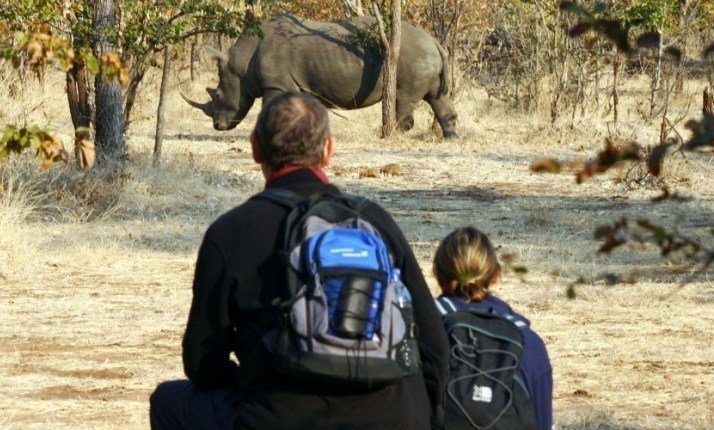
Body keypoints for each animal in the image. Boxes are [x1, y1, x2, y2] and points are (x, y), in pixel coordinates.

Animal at [183, 14, 458, 138]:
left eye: (218, 94)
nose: (218, 126)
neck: (241, 62)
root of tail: (434, 41)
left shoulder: (275, 85)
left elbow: (269, 109)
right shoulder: (297, 85)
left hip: (414, 55)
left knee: (404, 99)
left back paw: (394, 135)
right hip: (426, 55)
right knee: (437, 98)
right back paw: (450, 139)